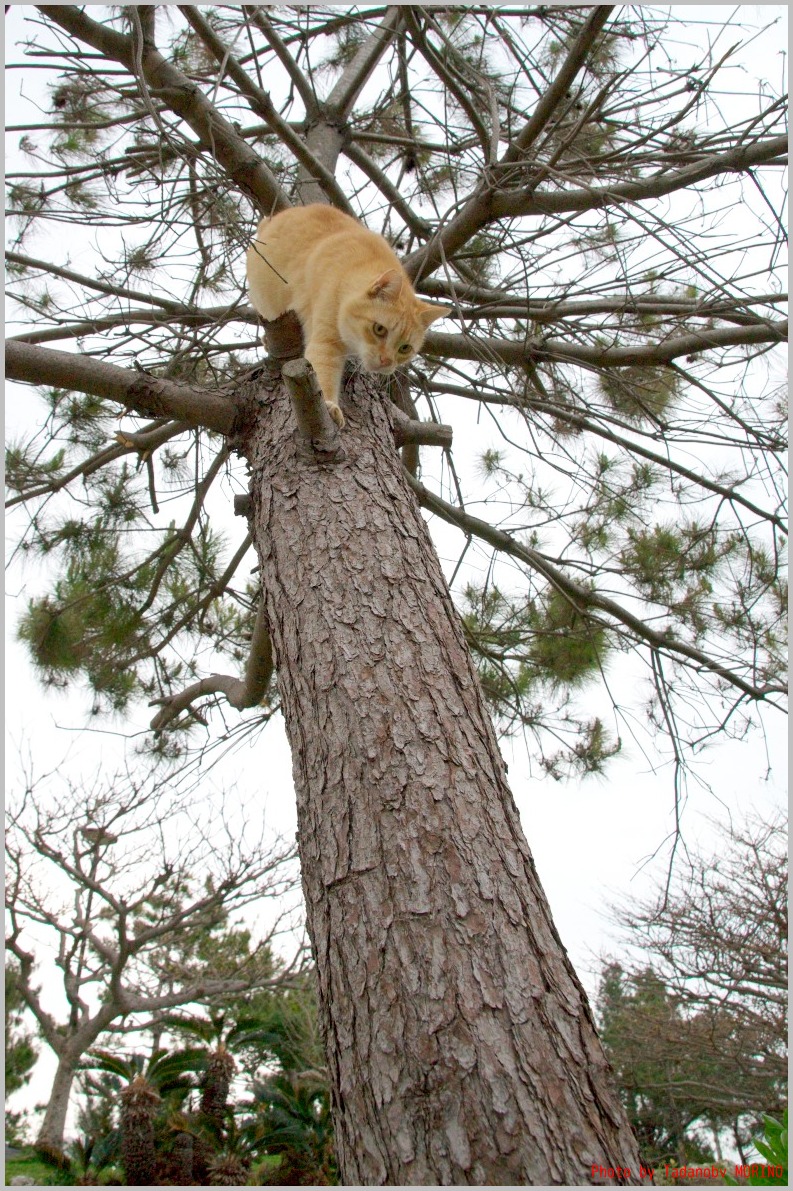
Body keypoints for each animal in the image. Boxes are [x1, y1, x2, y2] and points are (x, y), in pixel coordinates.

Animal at [244, 204, 447, 428]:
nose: (386, 361)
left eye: (405, 348)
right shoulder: (326, 342)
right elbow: (323, 373)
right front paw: (330, 406)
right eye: (379, 329)